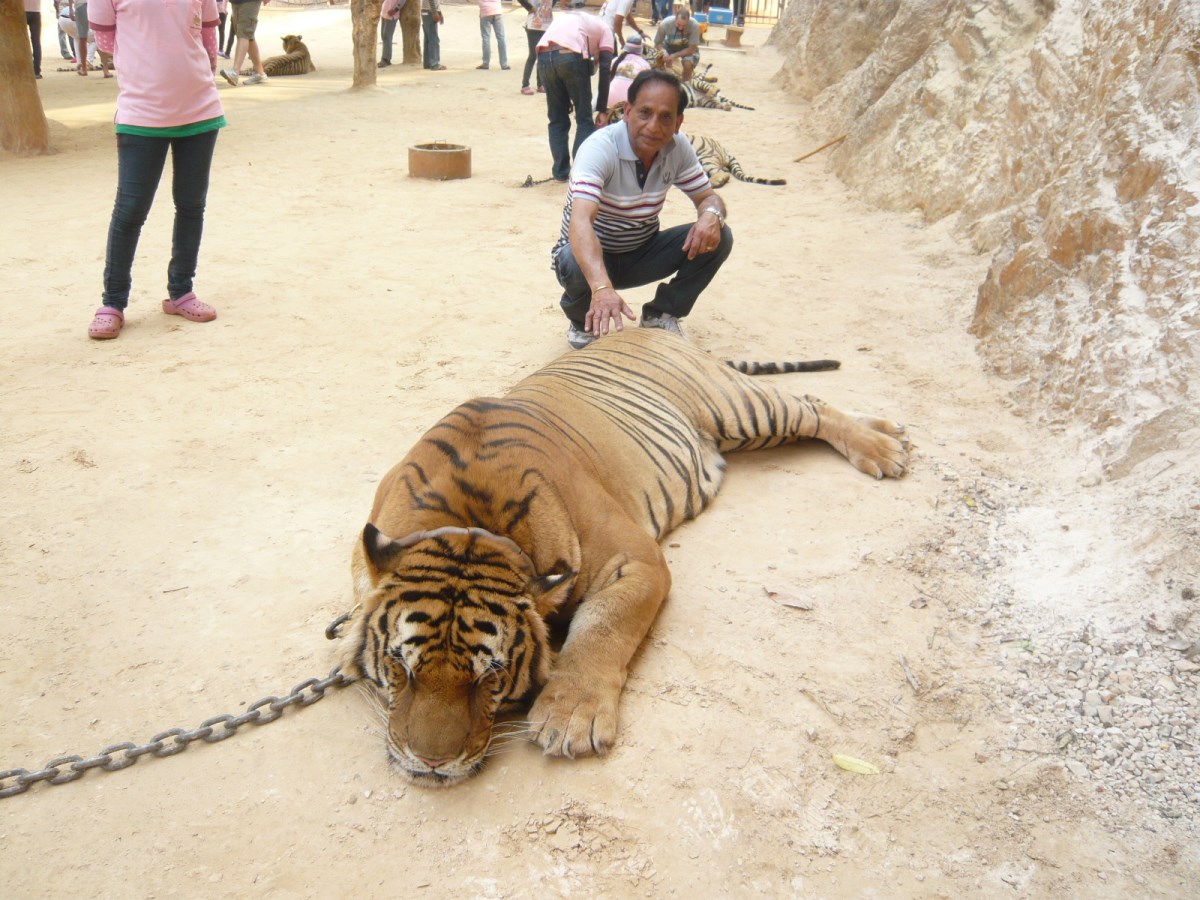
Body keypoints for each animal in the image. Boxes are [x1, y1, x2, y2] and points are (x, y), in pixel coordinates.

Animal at [333, 328, 902, 787]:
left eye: (489, 676)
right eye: (400, 668)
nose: (430, 762)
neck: (471, 520)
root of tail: (652, 327)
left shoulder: (637, 559)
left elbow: (604, 626)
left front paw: (569, 717)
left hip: (739, 407)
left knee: (813, 402)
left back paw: (885, 448)